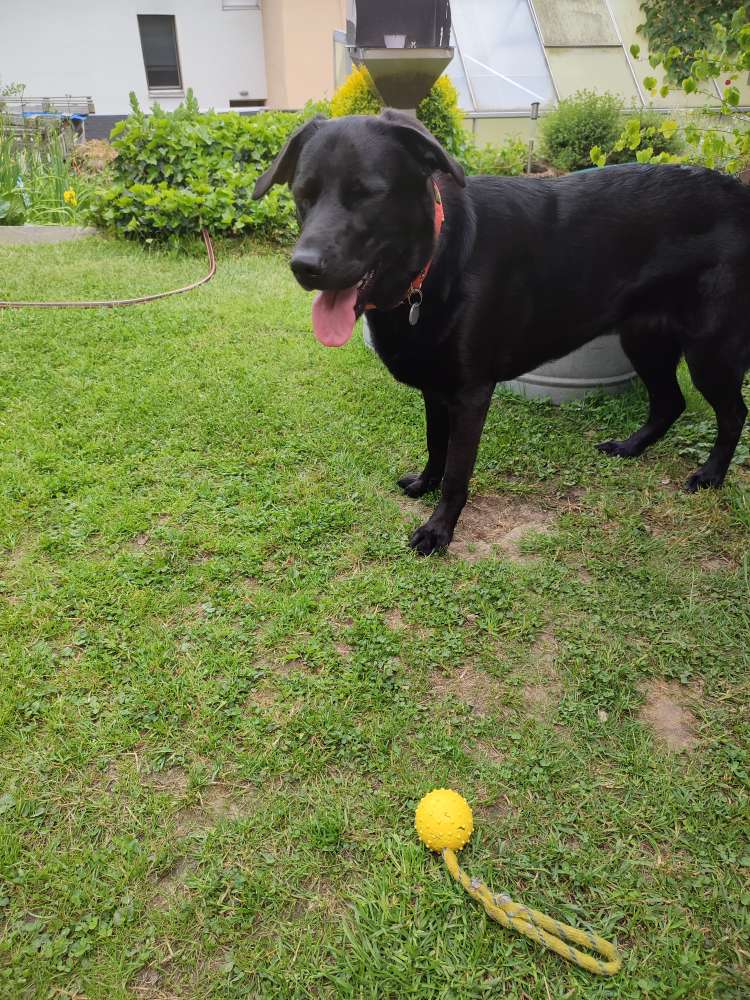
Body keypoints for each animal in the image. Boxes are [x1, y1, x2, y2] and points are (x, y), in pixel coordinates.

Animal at [254, 113, 750, 560]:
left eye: (366, 195)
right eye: (303, 195)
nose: (304, 266)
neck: (435, 261)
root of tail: (739, 194)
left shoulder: (471, 393)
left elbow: (457, 473)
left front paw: (438, 531)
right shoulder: (436, 388)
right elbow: (436, 445)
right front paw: (425, 483)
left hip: (709, 351)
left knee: (732, 413)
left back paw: (710, 476)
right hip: (644, 340)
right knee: (670, 402)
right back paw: (630, 447)